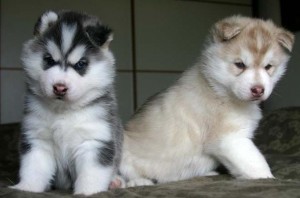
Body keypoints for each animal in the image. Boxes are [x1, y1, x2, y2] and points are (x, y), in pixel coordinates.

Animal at [10, 10, 123, 195]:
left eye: (81, 64)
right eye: (49, 60)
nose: (60, 88)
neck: (63, 111)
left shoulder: (94, 141)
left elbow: (91, 175)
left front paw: (87, 192)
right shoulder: (37, 139)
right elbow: (33, 169)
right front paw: (26, 188)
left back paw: (115, 182)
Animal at [119, 15, 292, 187]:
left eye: (268, 67)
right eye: (240, 65)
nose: (258, 90)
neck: (217, 88)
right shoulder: (230, 139)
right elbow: (256, 162)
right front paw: (270, 178)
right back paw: (136, 182)